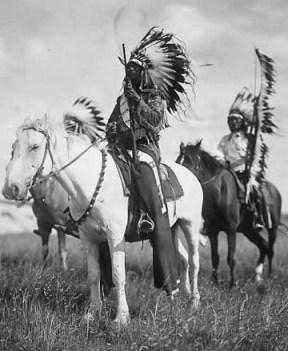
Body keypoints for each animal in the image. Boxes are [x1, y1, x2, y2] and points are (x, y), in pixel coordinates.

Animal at [3, 115, 204, 328]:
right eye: (13, 147)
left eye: (34, 146)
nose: (11, 188)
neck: (90, 183)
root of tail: (191, 175)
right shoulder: (89, 238)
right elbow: (93, 275)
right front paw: (92, 313)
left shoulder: (115, 236)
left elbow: (118, 274)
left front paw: (121, 317)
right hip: (173, 228)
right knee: (183, 259)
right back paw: (181, 296)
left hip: (190, 225)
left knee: (194, 260)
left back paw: (194, 302)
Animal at [176, 142, 282, 288]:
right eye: (177, 161)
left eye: (189, 161)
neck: (220, 193)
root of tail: (275, 191)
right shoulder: (213, 231)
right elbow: (215, 257)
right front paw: (215, 282)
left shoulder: (231, 229)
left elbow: (231, 258)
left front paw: (232, 284)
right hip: (249, 230)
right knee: (263, 246)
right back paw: (258, 277)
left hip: (273, 228)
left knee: (270, 250)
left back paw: (269, 276)